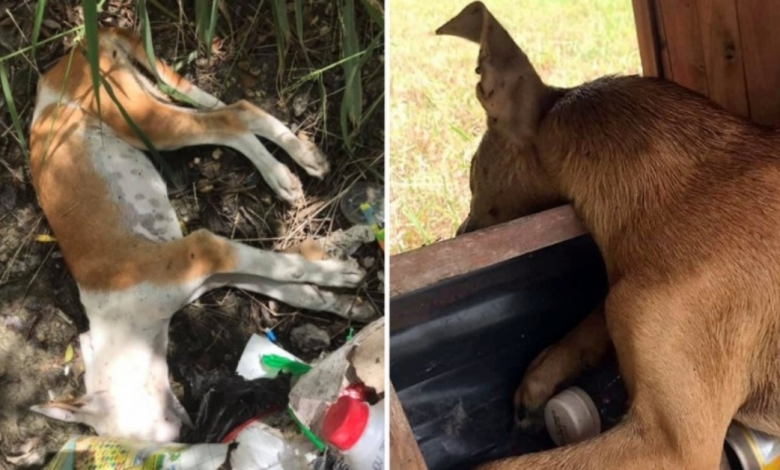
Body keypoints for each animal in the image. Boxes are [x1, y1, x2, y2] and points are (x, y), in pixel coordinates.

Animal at [27, 28, 374, 440]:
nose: (192, 435)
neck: (123, 324)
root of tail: (74, 50)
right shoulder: (216, 272)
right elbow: (289, 286)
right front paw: (341, 302)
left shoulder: (203, 250)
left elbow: (288, 269)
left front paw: (340, 275)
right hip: (147, 104)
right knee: (240, 109)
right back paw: (303, 155)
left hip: (138, 119)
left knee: (227, 120)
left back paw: (279, 175)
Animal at [438, 1, 780, 468]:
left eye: (472, 176)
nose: (458, 232)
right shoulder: (622, 296)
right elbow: (591, 318)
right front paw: (539, 380)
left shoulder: (672, 446)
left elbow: (497, 464)